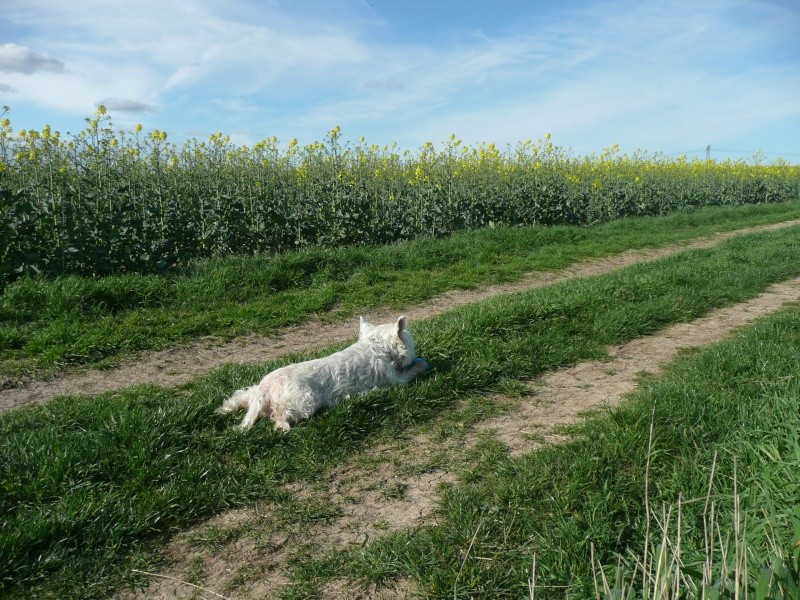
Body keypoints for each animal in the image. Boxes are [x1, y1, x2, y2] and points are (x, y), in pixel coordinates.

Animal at [219, 314, 428, 432]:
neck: (376, 346)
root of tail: (267, 388)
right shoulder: (395, 380)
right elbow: (410, 373)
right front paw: (422, 363)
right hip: (304, 400)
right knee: (278, 414)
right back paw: (283, 428)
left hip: (256, 392)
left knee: (241, 397)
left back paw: (224, 409)